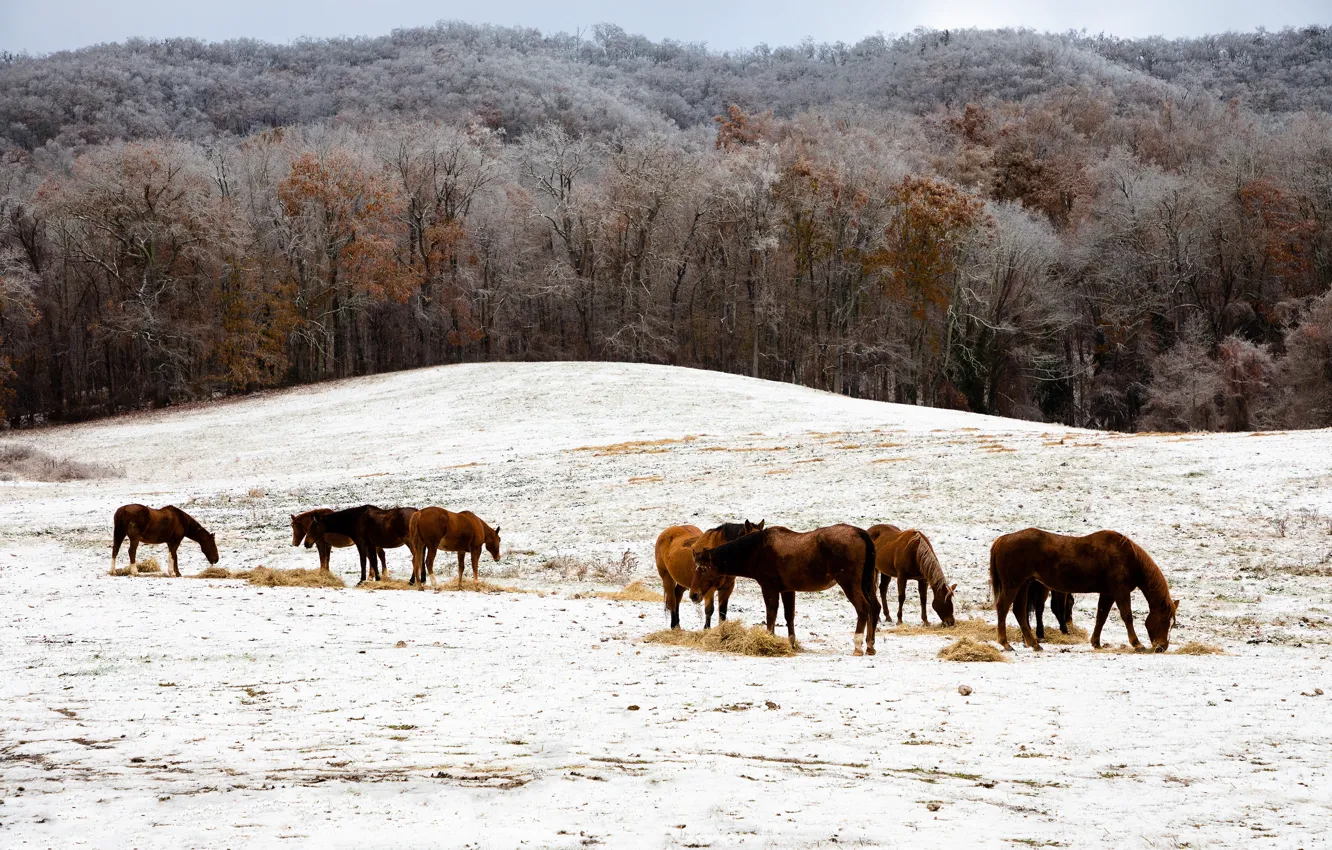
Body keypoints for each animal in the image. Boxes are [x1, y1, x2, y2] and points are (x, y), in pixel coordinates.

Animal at [692, 527, 879, 660]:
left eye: (703, 569)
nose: (693, 595)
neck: (757, 549)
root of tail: (860, 532)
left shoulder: (769, 588)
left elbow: (771, 614)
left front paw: (769, 639)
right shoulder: (788, 590)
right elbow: (789, 615)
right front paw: (791, 643)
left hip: (850, 584)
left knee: (863, 608)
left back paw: (858, 646)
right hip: (867, 584)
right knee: (874, 608)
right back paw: (870, 646)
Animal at [991, 530, 1177, 655]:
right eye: (1164, 620)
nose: (1162, 647)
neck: (1128, 557)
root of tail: (1002, 539)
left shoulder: (1108, 593)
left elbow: (1101, 617)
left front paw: (1096, 642)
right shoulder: (1120, 591)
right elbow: (1127, 616)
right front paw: (1137, 644)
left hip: (1023, 585)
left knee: (1019, 612)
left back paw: (1034, 644)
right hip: (1013, 585)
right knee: (1003, 608)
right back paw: (1006, 643)